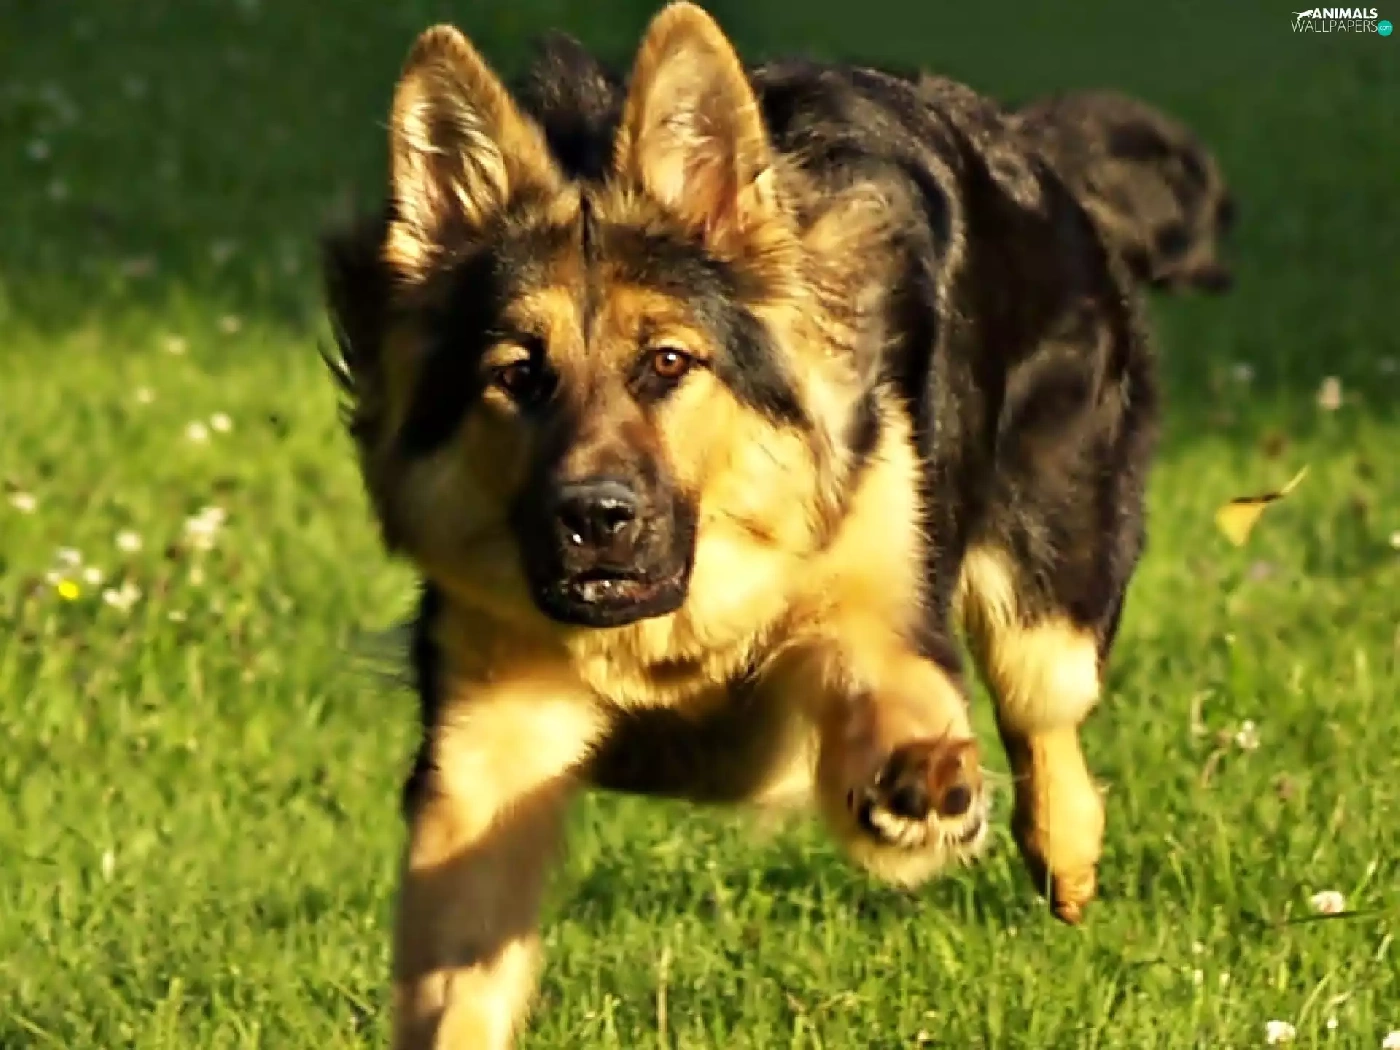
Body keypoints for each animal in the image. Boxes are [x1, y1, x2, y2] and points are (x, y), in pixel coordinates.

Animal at [321, 6, 1177, 1046]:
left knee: (1044, 708)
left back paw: (1063, 849)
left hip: (1043, 599)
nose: (593, 519)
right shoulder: (485, 748)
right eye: (517, 375)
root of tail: (1022, 143)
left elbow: (888, 688)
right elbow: (458, 968)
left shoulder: (876, 598)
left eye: (668, 362)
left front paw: (924, 782)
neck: (666, 632)